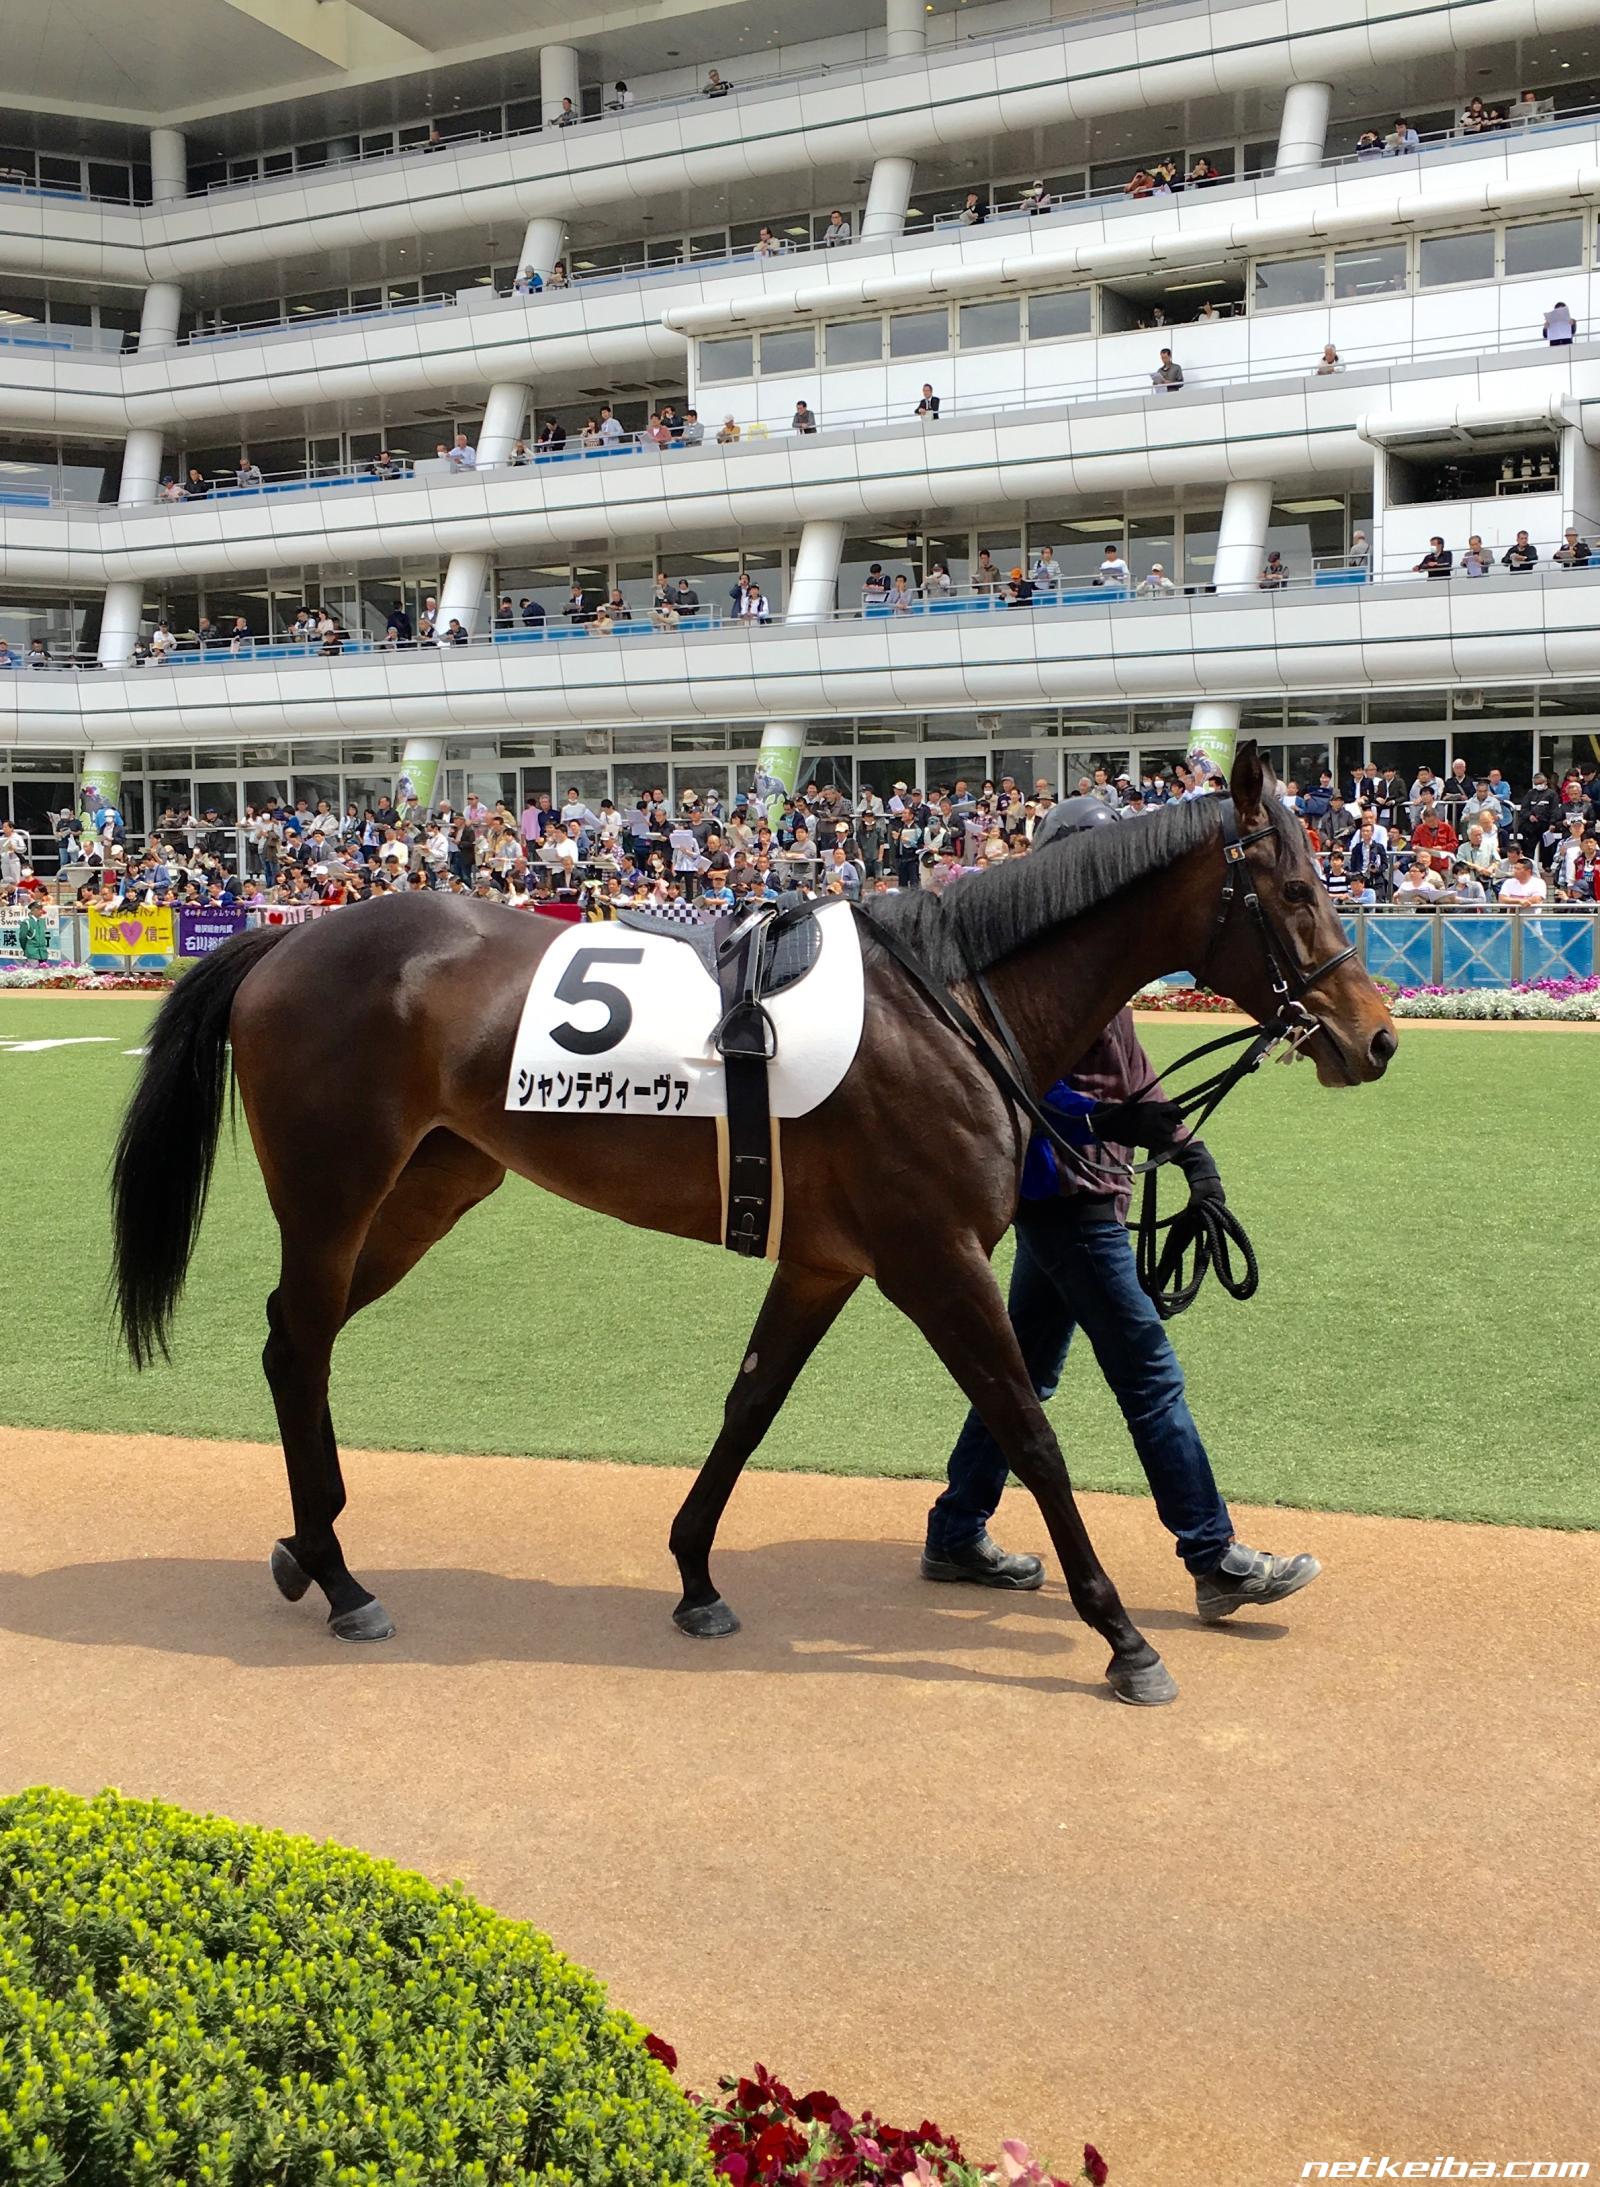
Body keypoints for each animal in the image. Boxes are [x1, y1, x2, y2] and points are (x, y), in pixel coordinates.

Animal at [110, 744, 1395, 1706]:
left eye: (1327, 879)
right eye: (1292, 892)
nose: (1373, 1035)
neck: (952, 1002)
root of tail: (287, 935)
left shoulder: (826, 1261)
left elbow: (751, 1405)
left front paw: (694, 1576)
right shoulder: (933, 1260)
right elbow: (1028, 1431)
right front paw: (1123, 1636)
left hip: (433, 1186)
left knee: (301, 1337)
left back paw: (307, 1549)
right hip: (335, 1188)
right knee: (295, 1340)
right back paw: (340, 1579)